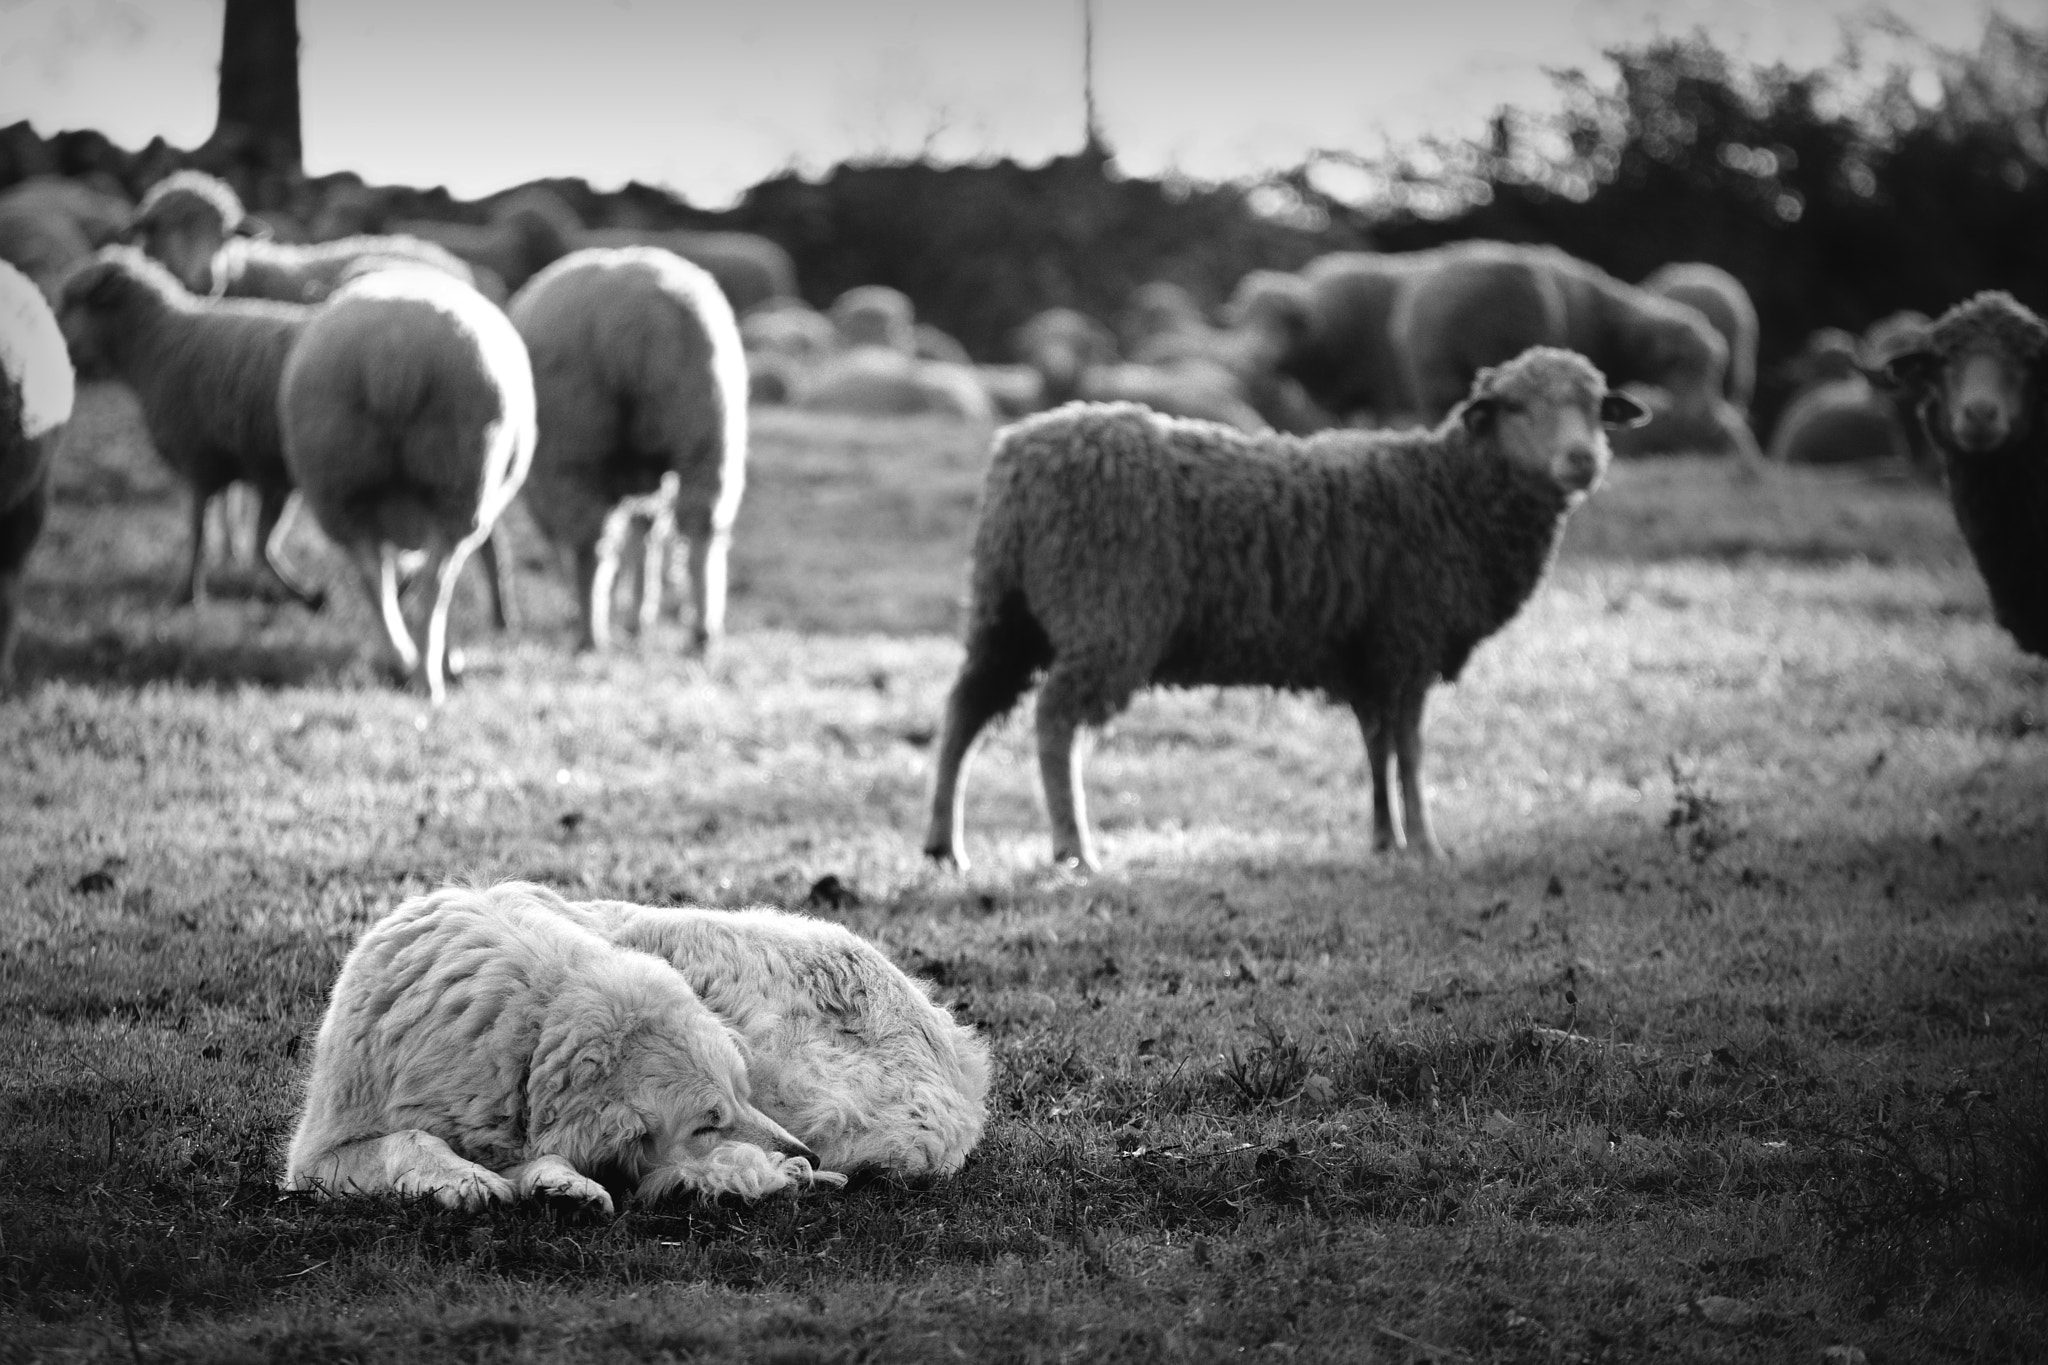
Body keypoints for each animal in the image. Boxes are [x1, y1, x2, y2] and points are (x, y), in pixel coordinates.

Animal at [54, 247, 327, 610]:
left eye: (72, 302)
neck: (156, 346)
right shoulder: (249, 469)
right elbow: (247, 536)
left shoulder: (199, 458)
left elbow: (200, 531)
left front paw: (187, 594)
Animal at [279, 266, 536, 702]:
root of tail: (392, 354)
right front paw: (447, 660)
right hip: (460, 483)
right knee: (436, 586)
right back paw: (428, 678)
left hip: (338, 482)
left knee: (371, 577)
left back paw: (402, 661)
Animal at [284, 882, 841, 1213]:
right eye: (707, 1124)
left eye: (745, 1095)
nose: (810, 1157)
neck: (527, 1034)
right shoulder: (314, 1160)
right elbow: (412, 1138)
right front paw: (469, 1180)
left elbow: (544, 1153)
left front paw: (559, 1183)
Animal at [507, 246, 747, 655]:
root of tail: (638, 323)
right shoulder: (645, 474)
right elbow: (645, 535)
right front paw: (637, 617)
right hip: (708, 428)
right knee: (702, 525)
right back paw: (702, 632)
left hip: (577, 441)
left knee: (590, 544)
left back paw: (590, 635)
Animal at [922, 346, 1647, 871]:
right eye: (1518, 406)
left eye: (1595, 407)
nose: (1583, 459)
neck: (1448, 495)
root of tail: (1022, 449)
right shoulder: (1409, 640)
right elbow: (1410, 751)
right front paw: (1426, 844)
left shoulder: (1369, 656)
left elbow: (1377, 747)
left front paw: (1386, 840)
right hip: (1107, 613)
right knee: (1053, 721)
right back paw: (1072, 846)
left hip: (1006, 611)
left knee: (965, 712)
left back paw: (943, 845)